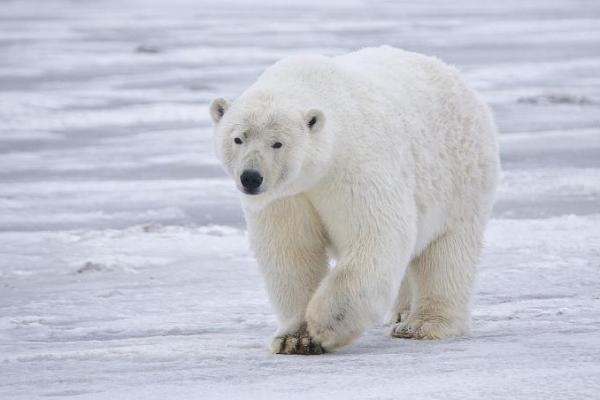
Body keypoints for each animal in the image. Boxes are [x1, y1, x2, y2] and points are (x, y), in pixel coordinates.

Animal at [209, 45, 500, 354]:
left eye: (277, 143)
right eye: (238, 138)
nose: (251, 177)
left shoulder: (354, 165)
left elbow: (376, 234)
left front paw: (325, 325)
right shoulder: (286, 196)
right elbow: (291, 250)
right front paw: (294, 339)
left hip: (460, 178)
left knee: (447, 252)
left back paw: (422, 325)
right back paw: (401, 312)